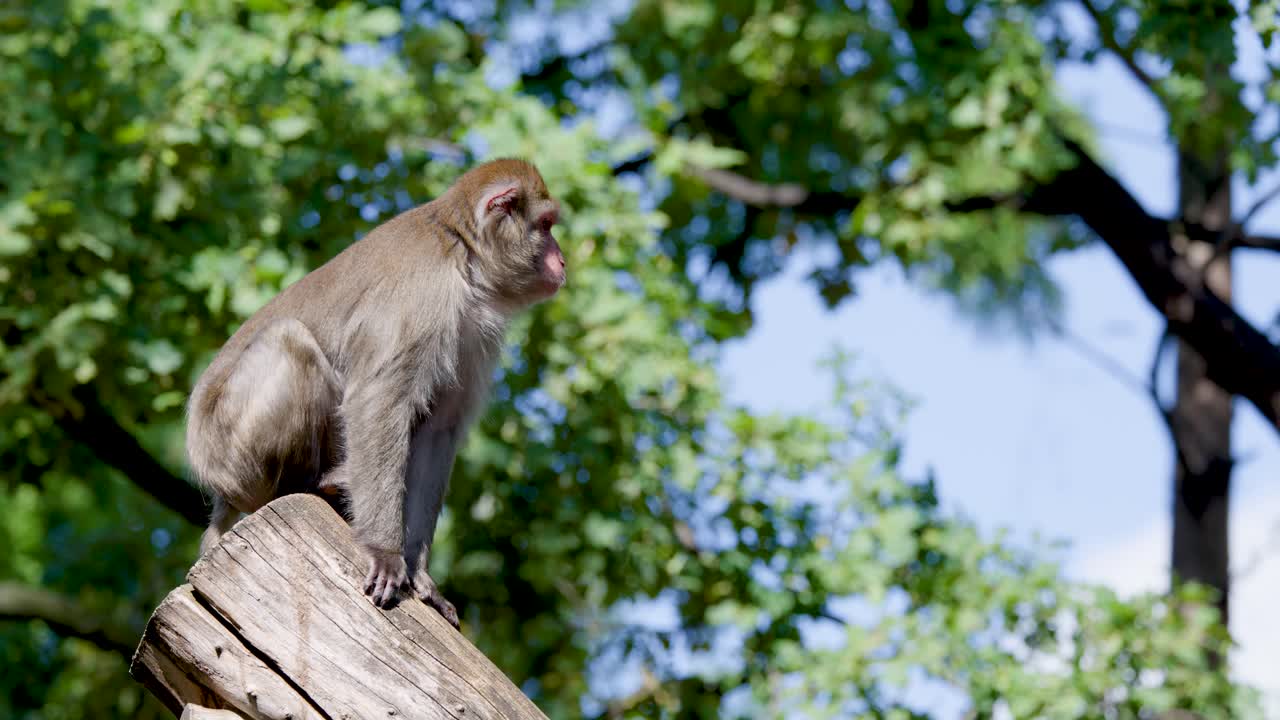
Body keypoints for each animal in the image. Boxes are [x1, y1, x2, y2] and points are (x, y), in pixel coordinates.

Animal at [184, 159, 566, 628]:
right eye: (546, 226)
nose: (562, 259)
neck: (464, 254)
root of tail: (218, 488)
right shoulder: (422, 292)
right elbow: (378, 401)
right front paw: (384, 553)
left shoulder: (472, 332)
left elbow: (438, 430)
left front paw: (420, 575)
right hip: (233, 452)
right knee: (289, 341)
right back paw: (317, 483)